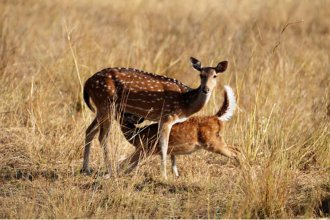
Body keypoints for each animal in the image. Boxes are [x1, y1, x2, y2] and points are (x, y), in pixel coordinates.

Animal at [82, 57, 228, 179]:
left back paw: (86, 168)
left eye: (215, 76)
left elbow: (171, 147)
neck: (185, 103)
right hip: (107, 104)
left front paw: (175, 174)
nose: (206, 89)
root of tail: (87, 83)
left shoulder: (172, 121)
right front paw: (164, 176)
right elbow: (164, 146)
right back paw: (109, 169)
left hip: (102, 109)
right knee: (103, 136)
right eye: (201, 75)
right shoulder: (167, 117)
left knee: (89, 131)